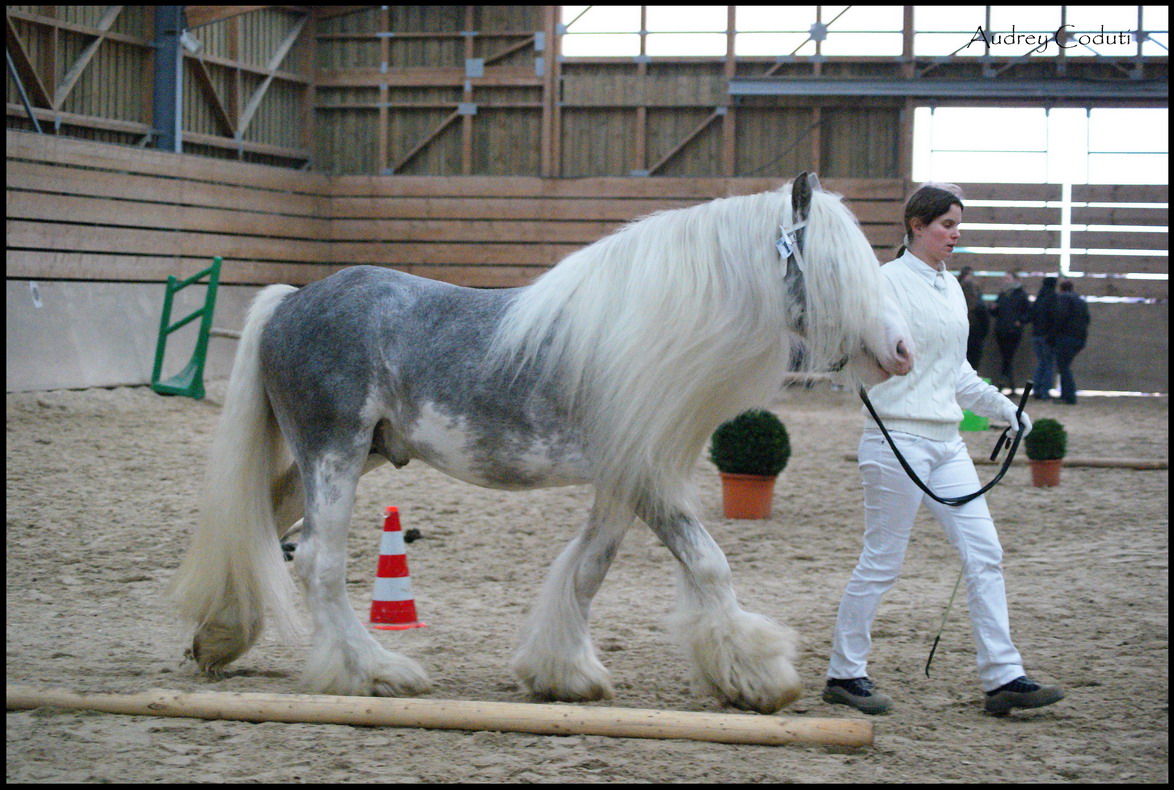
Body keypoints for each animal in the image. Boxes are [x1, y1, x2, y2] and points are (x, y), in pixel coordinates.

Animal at [170, 172, 911, 713]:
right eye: (835, 267)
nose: (901, 350)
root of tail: (290, 302)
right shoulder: (648, 477)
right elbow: (708, 566)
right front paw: (759, 677)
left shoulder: (625, 477)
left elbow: (587, 571)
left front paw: (562, 674)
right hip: (335, 453)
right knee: (318, 563)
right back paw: (373, 673)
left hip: (351, 456)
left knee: (263, 525)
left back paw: (219, 637)